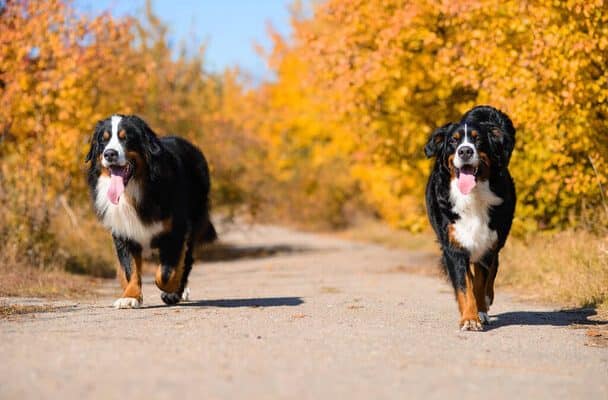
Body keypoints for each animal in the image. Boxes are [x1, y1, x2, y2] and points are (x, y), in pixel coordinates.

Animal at [85, 115, 216, 310]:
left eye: (126, 138)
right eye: (104, 139)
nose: (109, 154)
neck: (133, 191)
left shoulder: (176, 231)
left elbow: (166, 273)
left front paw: (172, 290)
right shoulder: (123, 233)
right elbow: (129, 268)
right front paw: (130, 296)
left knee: (187, 260)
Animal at [426, 105, 516, 332]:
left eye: (478, 140)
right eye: (453, 141)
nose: (465, 151)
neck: (472, 197)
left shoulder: (487, 241)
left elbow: (479, 283)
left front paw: (479, 312)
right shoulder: (453, 245)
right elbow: (464, 285)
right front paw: (469, 318)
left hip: (498, 238)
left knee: (492, 269)